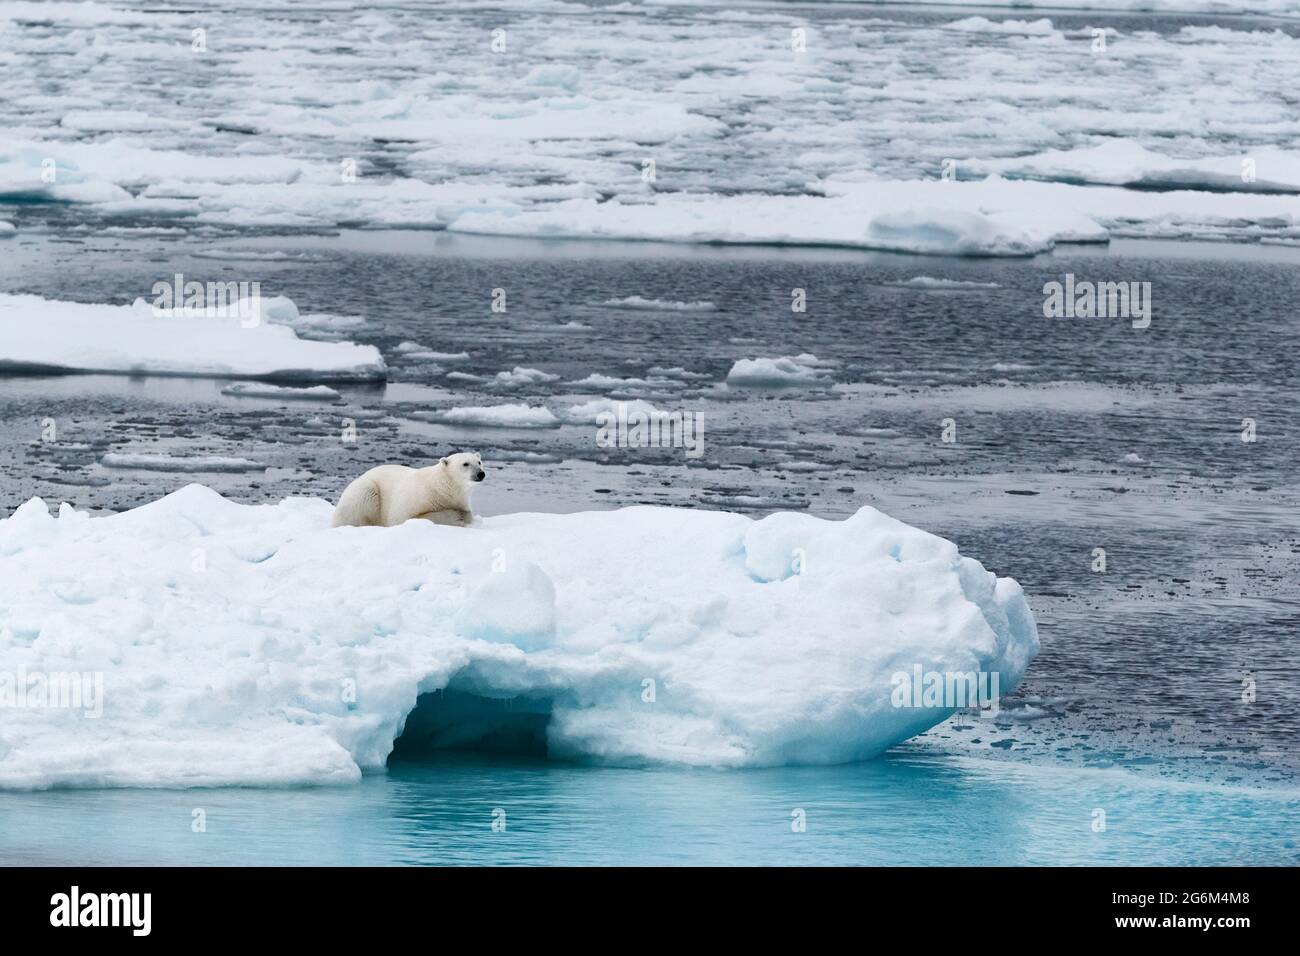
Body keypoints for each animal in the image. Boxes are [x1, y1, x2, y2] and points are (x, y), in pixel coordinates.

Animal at [332, 450, 486, 528]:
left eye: (479, 462)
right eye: (465, 464)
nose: (481, 474)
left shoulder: (460, 499)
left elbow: (468, 513)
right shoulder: (415, 498)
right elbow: (407, 517)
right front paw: (456, 517)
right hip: (364, 491)